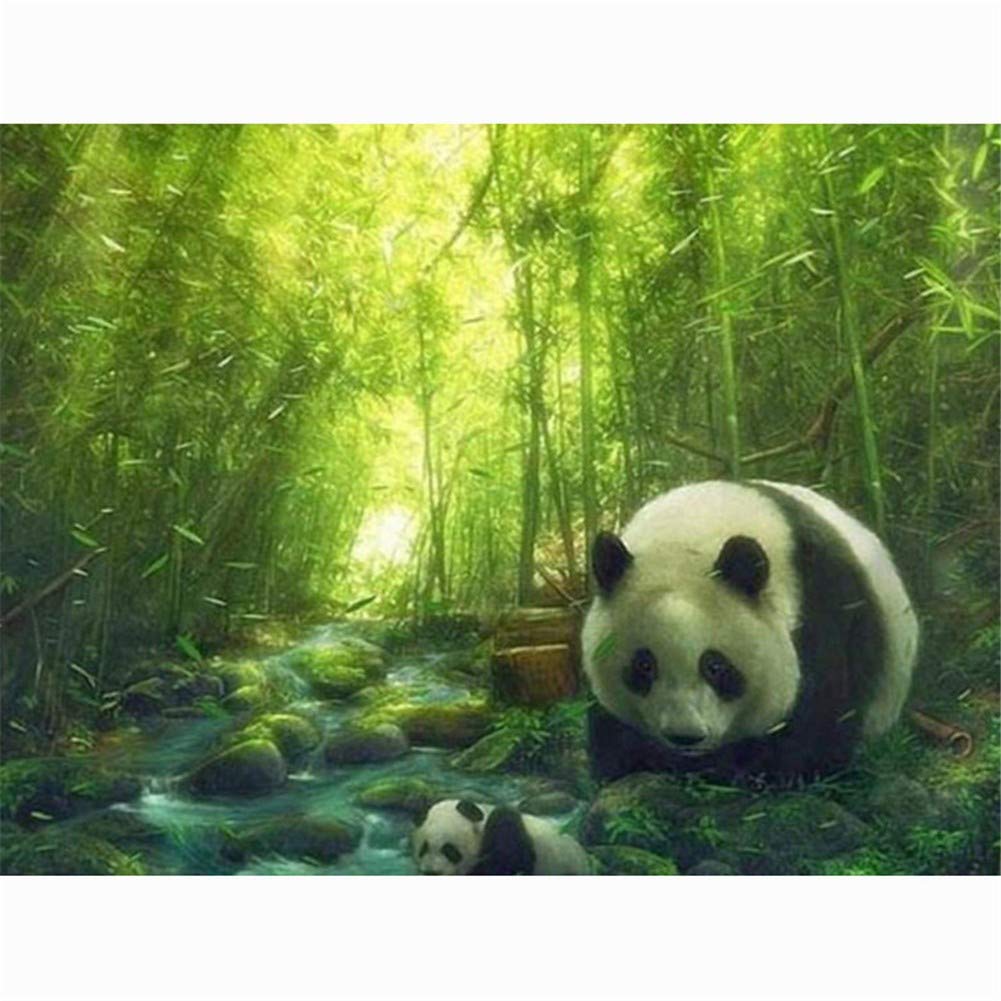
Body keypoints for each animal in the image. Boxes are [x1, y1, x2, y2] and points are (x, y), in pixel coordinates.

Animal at [581, 479, 919, 783]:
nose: (684, 736)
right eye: (644, 665)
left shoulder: (824, 603)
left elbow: (820, 717)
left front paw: (749, 770)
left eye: (716, 666)